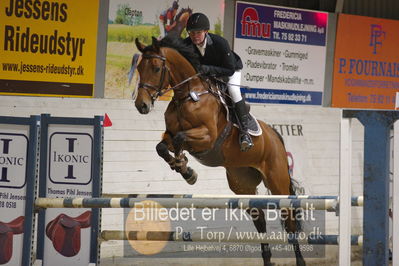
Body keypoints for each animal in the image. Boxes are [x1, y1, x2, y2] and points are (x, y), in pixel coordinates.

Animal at [134, 35, 306, 266]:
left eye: (155, 67)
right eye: (138, 67)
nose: (141, 105)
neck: (188, 95)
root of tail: (276, 136)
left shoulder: (207, 137)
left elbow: (180, 140)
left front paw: (185, 168)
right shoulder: (170, 134)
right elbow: (161, 146)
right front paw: (184, 168)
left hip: (277, 181)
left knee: (289, 221)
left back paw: (300, 260)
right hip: (242, 184)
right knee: (260, 220)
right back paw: (267, 259)